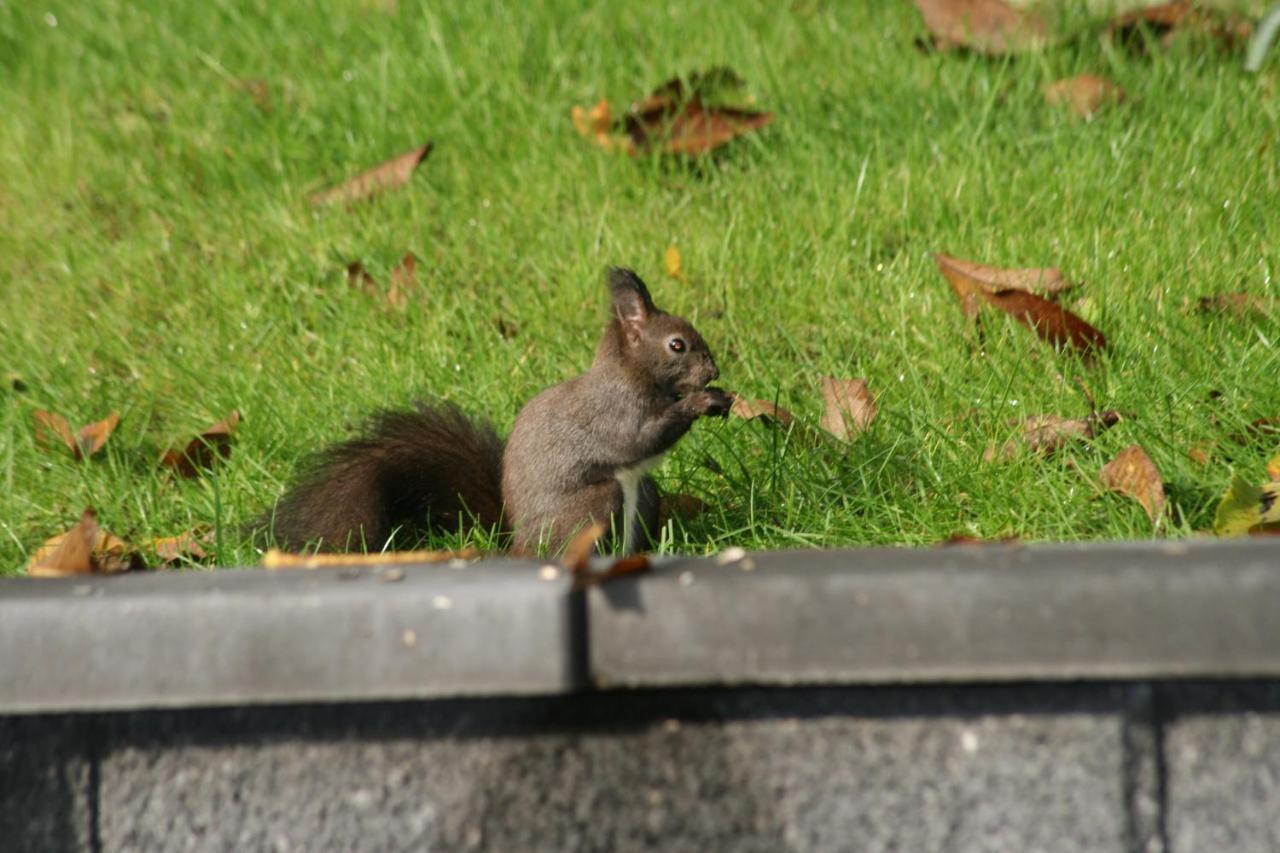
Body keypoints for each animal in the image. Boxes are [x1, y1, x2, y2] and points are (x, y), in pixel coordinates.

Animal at [262, 267, 732, 558]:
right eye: (677, 345)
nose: (713, 371)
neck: (632, 375)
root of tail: (520, 546)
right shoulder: (615, 414)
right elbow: (643, 438)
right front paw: (702, 401)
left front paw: (721, 396)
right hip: (595, 505)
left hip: (644, 496)